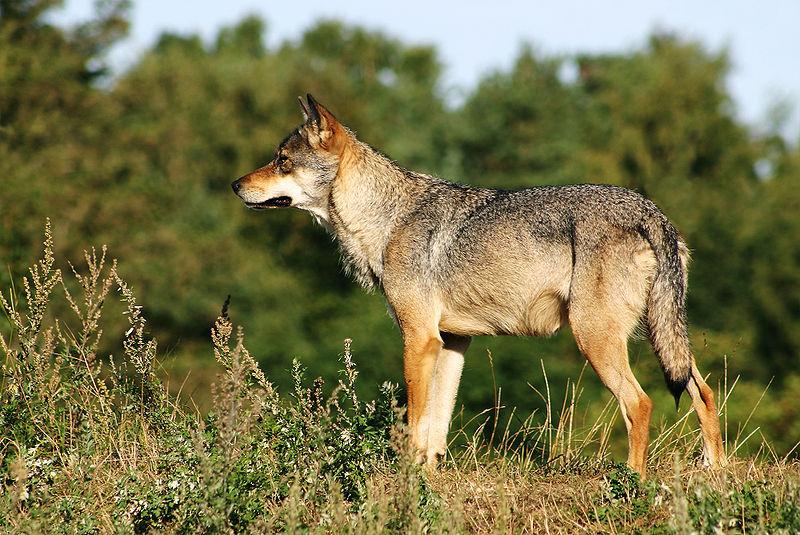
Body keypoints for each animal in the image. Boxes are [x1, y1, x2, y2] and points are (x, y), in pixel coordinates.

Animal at [230, 94, 724, 480]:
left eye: (281, 161)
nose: (234, 184)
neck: (386, 219)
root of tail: (652, 212)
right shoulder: (451, 343)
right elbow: (436, 428)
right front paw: (428, 480)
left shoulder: (419, 340)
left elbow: (416, 422)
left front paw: (407, 481)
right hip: (660, 337)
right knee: (703, 391)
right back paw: (716, 472)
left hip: (596, 339)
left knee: (640, 404)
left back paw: (632, 483)